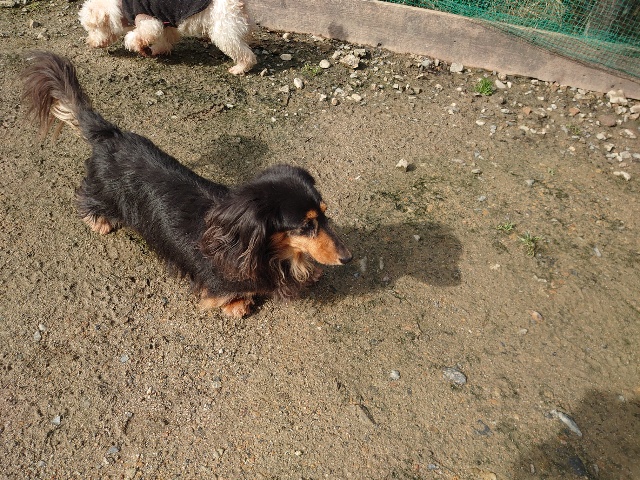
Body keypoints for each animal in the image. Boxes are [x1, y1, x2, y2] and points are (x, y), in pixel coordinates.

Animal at [22, 52, 352, 317]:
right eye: (305, 226)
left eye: (325, 214)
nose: (348, 258)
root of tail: (111, 135)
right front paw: (238, 304)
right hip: (102, 191)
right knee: (88, 197)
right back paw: (99, 221)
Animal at [78, 0, 257, 74]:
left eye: (93, 28)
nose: (89, 42)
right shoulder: (167, 22)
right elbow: (166, 39)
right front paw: (159, 50)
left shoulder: (148, 20)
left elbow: (137, 35)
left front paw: (136, 45)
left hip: (224, 31)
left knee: (245, 54)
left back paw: (240, 68)